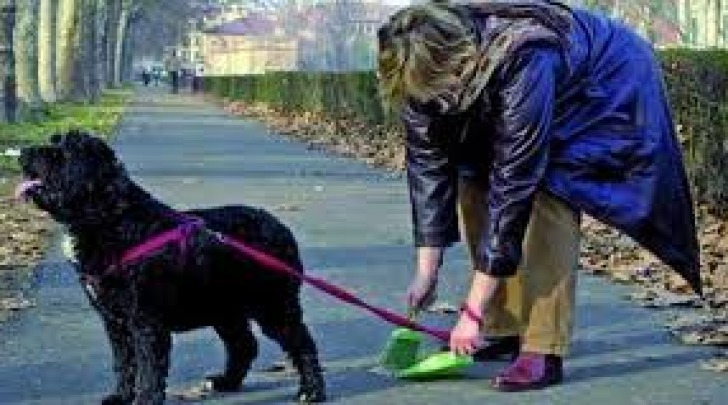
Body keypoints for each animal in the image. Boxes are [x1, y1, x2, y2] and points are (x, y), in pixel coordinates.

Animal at [17, 131, 326, 402]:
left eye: (64, 152)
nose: (23, 152)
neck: (116, 219)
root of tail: (280, 227)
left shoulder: (146, 320)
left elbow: (148, 368)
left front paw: (145, 399)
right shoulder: (116, 322)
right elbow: (124, 363)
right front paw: (121, 396)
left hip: (272, 305)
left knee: (302, 343)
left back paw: (312, 391)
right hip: (224, 307)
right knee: (244, 345)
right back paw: (227, 381)